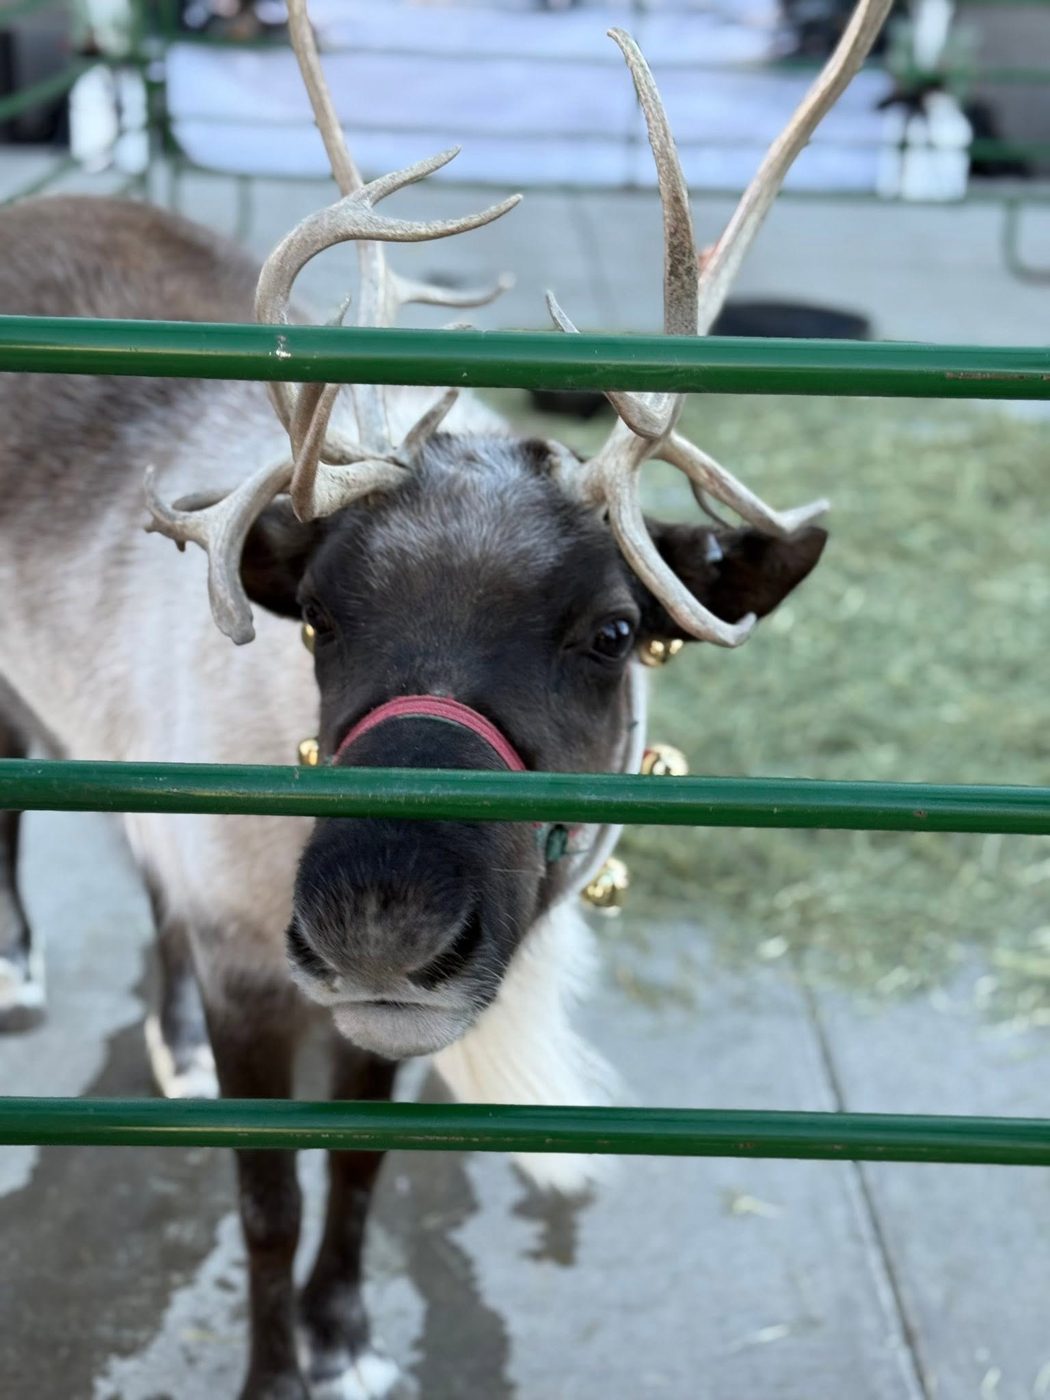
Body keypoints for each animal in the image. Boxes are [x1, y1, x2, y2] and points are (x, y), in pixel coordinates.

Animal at [0, 0, 890, 1395]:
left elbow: (360, 1164)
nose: (382, 920)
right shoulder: (257, 970)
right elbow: (266, 1203)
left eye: (613, 630)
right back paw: (23, 970)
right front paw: (276, 1366)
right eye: (318, 616)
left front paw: (347, 1333)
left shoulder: (360, 1013)